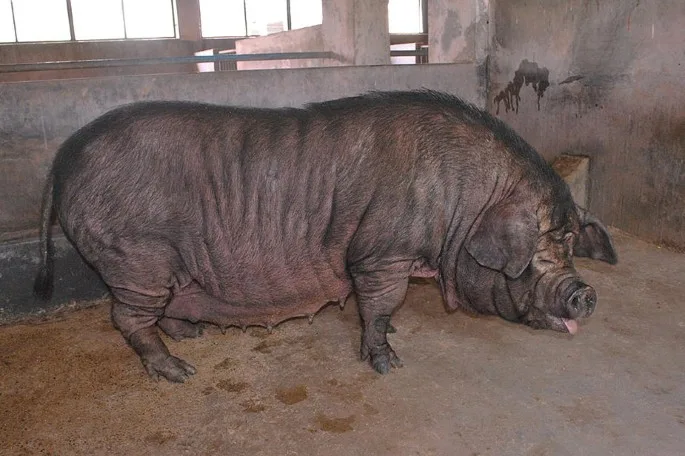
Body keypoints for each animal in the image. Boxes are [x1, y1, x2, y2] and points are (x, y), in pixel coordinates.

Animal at [34, 90, 617, 383]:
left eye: (571, 243)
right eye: (540, 251)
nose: (587, 293)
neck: (466, 204)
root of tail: (62, 159)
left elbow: (375, 307)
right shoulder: (382, 252)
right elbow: (381, 305)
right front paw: (389, 363)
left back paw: (192, 336)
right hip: (135, 256)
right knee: (127, 317)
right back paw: (179, 372)